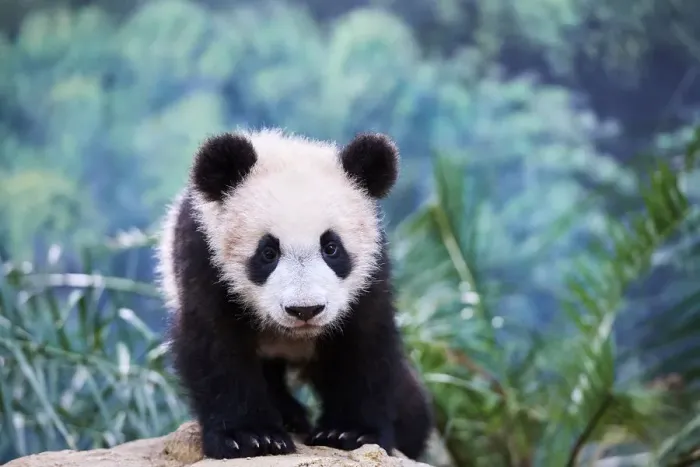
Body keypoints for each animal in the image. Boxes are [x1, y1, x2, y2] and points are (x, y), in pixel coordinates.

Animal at [154, 128, 434, 460]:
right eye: (268, 252)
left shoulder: (370, 274)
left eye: (331, 248)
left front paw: (349, 432)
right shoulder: (204, 258)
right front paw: (251, 437)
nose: (305, 310)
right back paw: (287, 416)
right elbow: (215, 343)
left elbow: (363, 343)